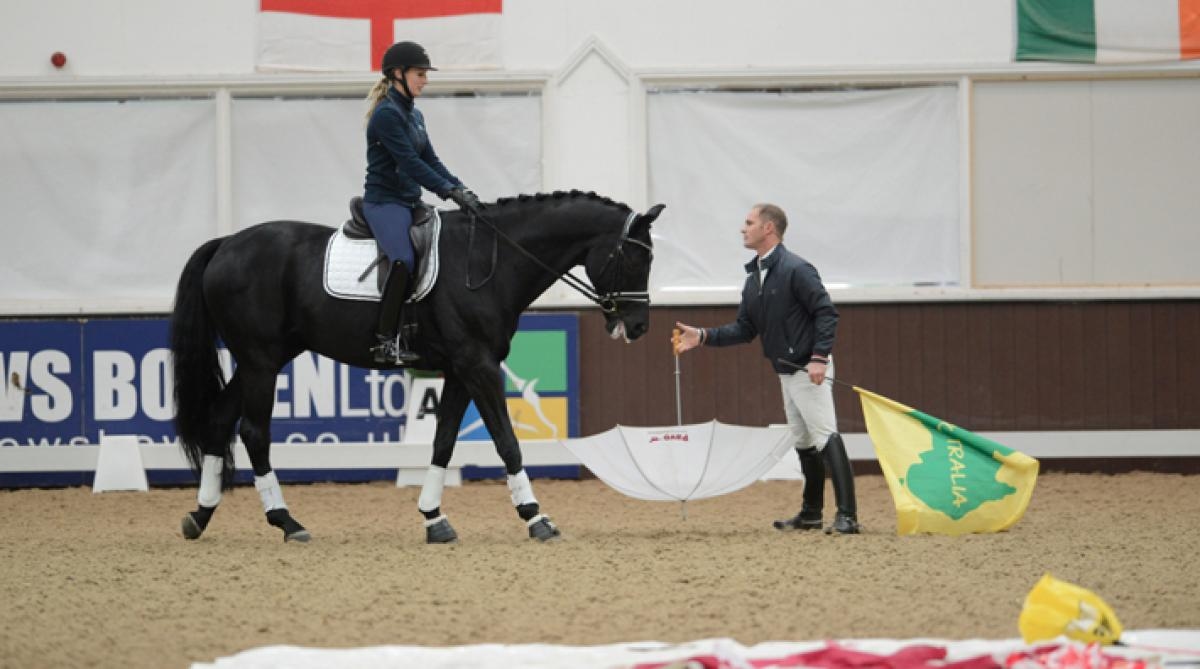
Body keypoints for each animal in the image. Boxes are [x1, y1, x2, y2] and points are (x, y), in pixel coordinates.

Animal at [172, 193, 662, 546]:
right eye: (637, 259)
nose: (639, 326)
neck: (490, 260)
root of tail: (226, 243)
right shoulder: (479, 366)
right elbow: (506, 441)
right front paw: (536, 517)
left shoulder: (461, 370)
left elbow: (443, 441)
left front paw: (434, 518)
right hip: (261, 360)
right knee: (254, 431)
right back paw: (287, 522)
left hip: (265, 358)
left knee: (220, 418)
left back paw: (200, 514)